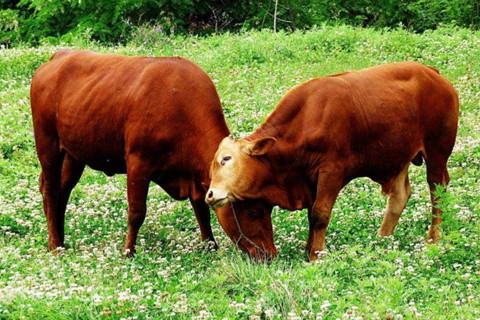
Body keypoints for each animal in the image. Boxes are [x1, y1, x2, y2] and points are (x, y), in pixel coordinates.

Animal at [31, 48, 278, 256]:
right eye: (253, 211)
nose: (270, 253)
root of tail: (60, 56)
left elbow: (201, 209)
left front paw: (210, 245)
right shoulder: (138, 163)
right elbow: (136, 212)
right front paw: (128, 251)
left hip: (74, 154)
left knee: (62, 191)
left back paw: (61, 240)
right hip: (47, 143)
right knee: (51, 190)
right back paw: (54, 246)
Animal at [205, 62, 458, 260]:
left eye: (226, 159)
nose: (210, 195)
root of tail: (431, 72)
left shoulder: (331, 172)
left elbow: (319, 214)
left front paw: (316, 255)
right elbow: (312, 215)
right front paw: (309, 250)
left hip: (437, 152)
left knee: (437, 190)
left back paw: (433, 238)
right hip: (398, 155)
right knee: (399, 196)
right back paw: (382, 240)